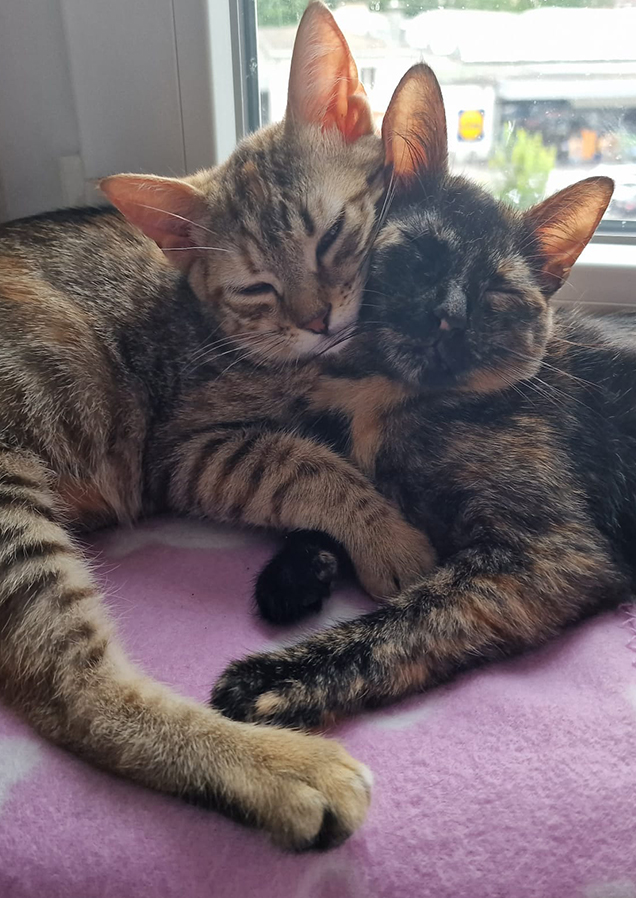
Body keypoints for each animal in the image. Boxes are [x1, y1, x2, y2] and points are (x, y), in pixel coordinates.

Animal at [0, 5, 432, 848]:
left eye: (332, 237)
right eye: (256, 287)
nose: (317, 319)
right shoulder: (188, 449)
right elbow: (307, 464)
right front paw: (387, 533)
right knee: (71, 691)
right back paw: (282, 769)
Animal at [212, 68, 632, 728]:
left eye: (496, 293)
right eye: (423, 254)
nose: (449, 315)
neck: (379, 397)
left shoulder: (548, 552)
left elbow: (402, 623)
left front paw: (271, 680)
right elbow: (331, 492)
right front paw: (294, 574)